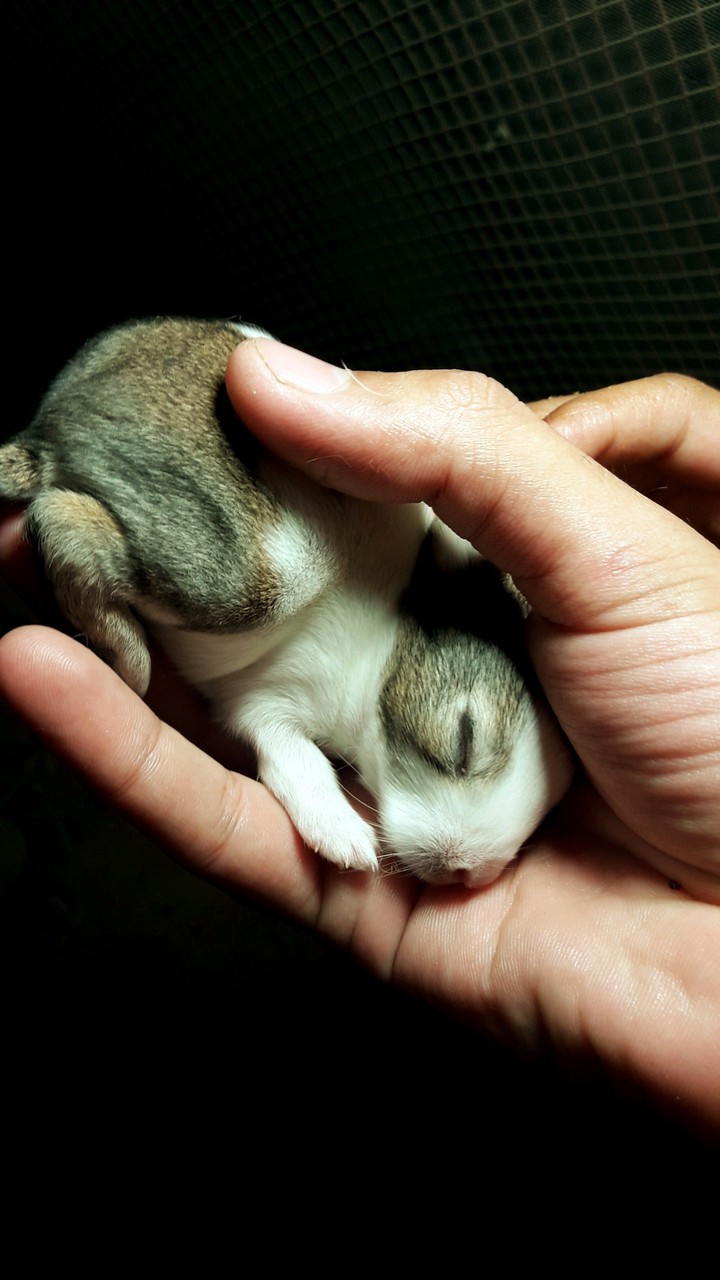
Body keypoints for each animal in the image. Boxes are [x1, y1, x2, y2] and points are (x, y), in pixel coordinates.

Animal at [0, 317, 574, 887]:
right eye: (464, 738)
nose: (464, 871)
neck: (378, 653)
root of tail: (42, 430)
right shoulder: (266, 705)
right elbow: (296, 759)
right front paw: (346, 842)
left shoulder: (259, 705)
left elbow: (289, 759)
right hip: (247, 570)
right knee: (61, 520)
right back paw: (128, 655)